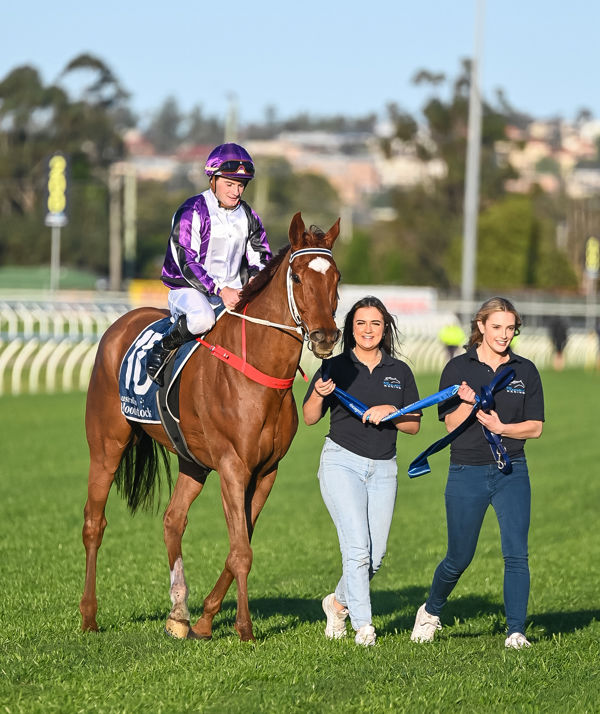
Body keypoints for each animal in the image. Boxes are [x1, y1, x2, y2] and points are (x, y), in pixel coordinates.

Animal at [80, 211, 342, 640]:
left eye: (336, 277)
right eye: (298, 277)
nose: (325, 336)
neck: (259, 373)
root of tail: (120, 324)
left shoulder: (266, 471)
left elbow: (240, 545)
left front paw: (205, 620)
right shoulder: (234, 467)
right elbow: (242, 550)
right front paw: (245, 629)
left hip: (193, 461)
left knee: (173, 520)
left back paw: (178, 615)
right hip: (106, 444)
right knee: (93, 523)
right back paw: (88, 616)